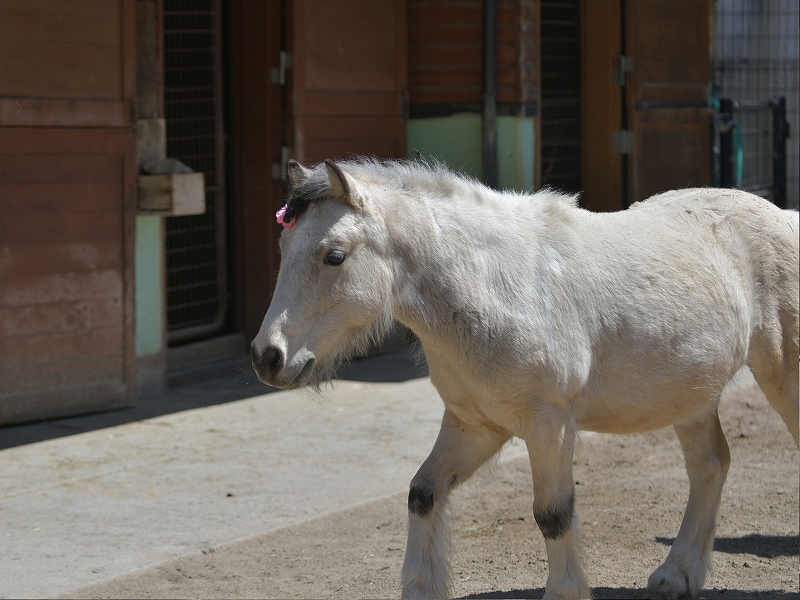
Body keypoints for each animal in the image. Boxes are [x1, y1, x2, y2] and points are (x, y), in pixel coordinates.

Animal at [252, 158, 800, 600]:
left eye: (334, 255)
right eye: (283, 244)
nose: (267, 357)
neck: (497, 287)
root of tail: (783, 215)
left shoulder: (548, 426)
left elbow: (553, 515)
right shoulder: (476, 426)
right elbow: (422, 494)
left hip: (780, 377)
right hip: (691, 397)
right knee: (710, 466)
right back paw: (678, 574)